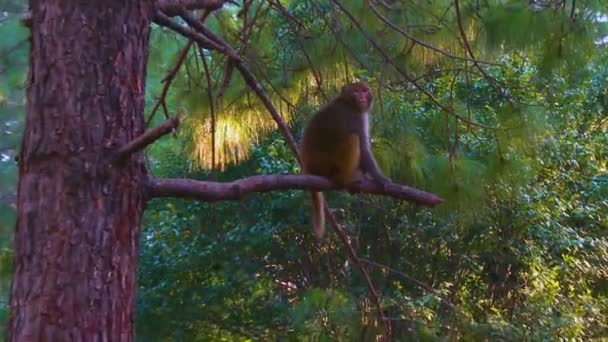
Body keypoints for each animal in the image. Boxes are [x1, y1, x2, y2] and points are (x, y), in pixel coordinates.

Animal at [302, 81, 392, 238]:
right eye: (355, 92)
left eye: (364, 90)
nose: (362, 97)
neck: (348, 103)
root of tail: (308, 167)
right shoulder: (355, 118)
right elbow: (363, 149)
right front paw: (380, 178)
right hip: (325, 164)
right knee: (353, 138)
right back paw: (344, 179)